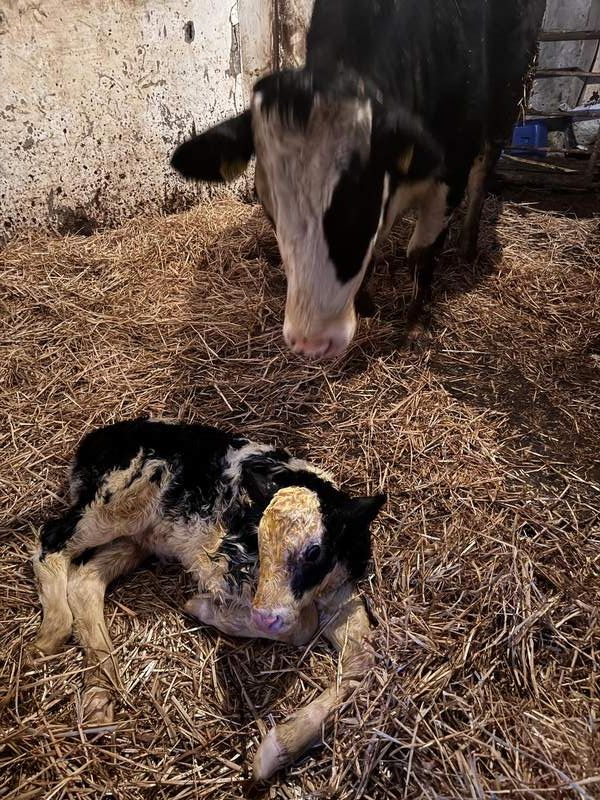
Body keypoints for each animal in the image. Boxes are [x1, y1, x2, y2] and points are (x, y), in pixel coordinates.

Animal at [31, 417, 385, 780]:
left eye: (315, 551)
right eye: (260, 540)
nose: (264, 618)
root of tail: (97, 439)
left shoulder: (339, 589)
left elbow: (362, 655)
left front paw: (280, 747)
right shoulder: (218, 562)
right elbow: (303, 625)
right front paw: (203, 607)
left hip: (141, 535)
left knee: (85, 579)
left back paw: (99, 697)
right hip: (118, 499)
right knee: (52, 540)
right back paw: (52, 634)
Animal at [171, 0, 546, 359]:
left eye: (357, 194)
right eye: (267, 204)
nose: (311, 342)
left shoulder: (452, 166)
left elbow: (421, 251)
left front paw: (415, 326)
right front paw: (365, 302)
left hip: (507, 97)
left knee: (484, 170)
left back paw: (468, 244)